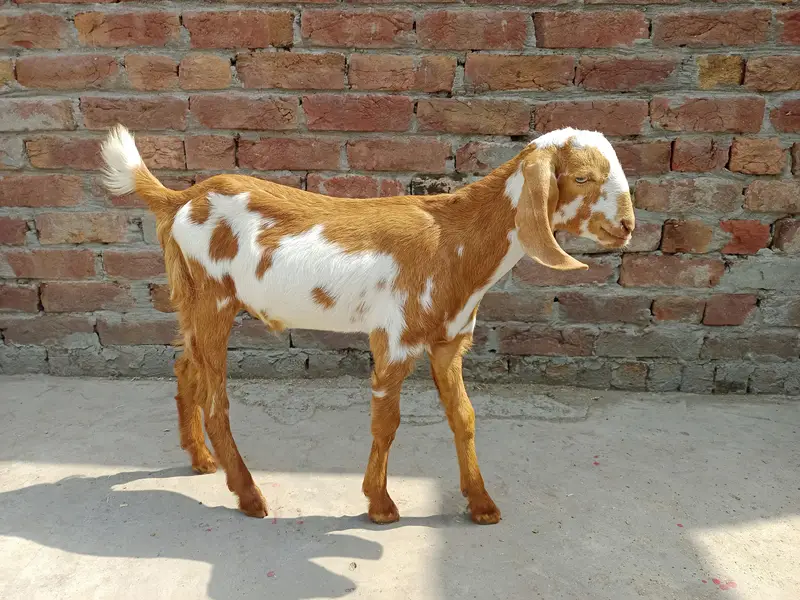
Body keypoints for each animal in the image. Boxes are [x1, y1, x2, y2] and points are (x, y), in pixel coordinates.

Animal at [100, 124, 635, 525]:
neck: (454, 240)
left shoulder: (450, 341)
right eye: (583, 177)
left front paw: (482, 504)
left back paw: (199, 459)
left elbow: (463, 416)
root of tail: (180, 199)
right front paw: (380, 505)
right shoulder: (395, 340)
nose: (627, 227)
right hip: (212, 297)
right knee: (216, 401)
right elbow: (387, 421)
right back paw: (249, 496)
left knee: (184, 367)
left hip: (194, 301)